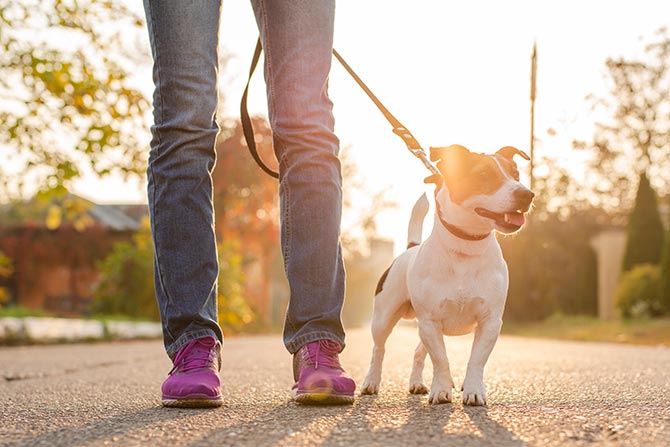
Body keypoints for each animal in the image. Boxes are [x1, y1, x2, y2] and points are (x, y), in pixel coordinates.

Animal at [360, 144, 540, 406]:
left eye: (516, 174)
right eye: (483, 175)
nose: (526, 194)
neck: (466, 247)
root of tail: (410, 248)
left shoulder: (490, 321)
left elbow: (476, 360)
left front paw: (473, 389)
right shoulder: (429, 321)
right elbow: (441, 360)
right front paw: (442, 390)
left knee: (418, 352)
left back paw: (417, 383)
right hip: (384, 318)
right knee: (378, 349)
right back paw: (371, 382)